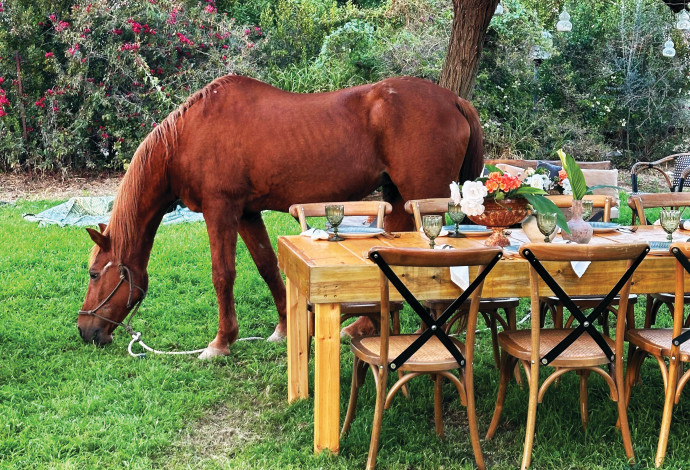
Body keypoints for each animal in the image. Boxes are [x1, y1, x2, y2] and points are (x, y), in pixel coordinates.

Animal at [78, 75, 482, 358]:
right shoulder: (246, 214)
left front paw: (221, 342)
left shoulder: (220, 211)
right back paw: (360, 327)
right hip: (397, 198)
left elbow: (223, 275)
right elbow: (268, 267)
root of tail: (455, 100)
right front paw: (286, 329)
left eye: (94, 273)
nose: (85, 330)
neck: (188, 136)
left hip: (421, 201)